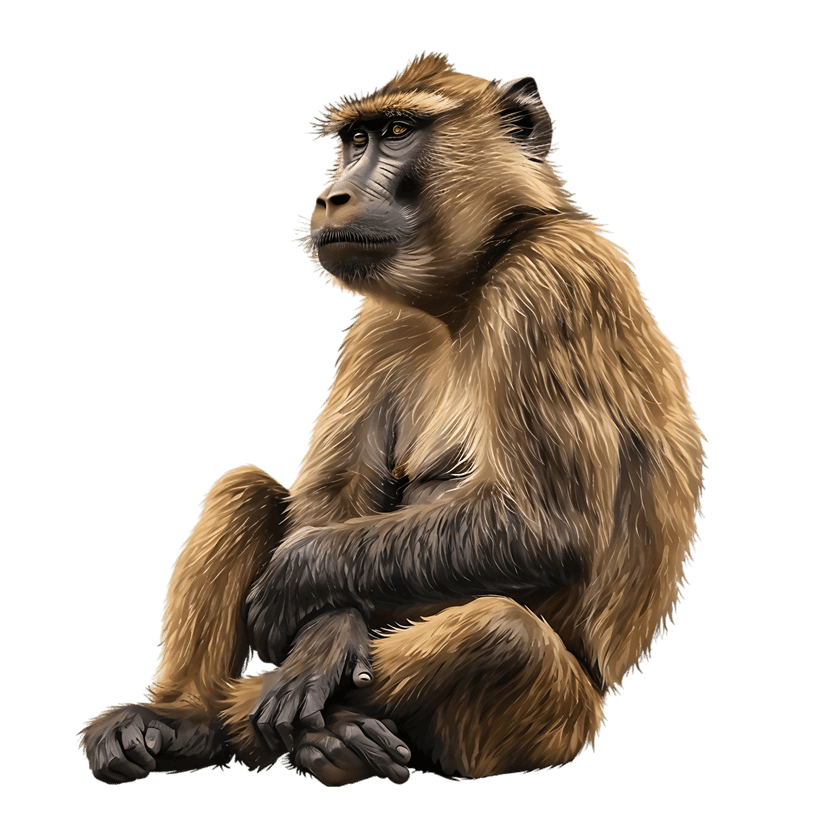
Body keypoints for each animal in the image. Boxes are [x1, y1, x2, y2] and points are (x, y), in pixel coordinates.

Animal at [79, 52, 705, 787]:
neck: (469, 285)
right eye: (356, 140)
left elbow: (548, 526)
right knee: (245, 490)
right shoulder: (384, 321)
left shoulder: (551, 284)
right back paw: (191, 722)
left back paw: (315, 736)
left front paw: (302, 589)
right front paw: (325, 631)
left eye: (399, 132)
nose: (334, 197)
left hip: (553, 724)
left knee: (504, 633)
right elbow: (333, 493)